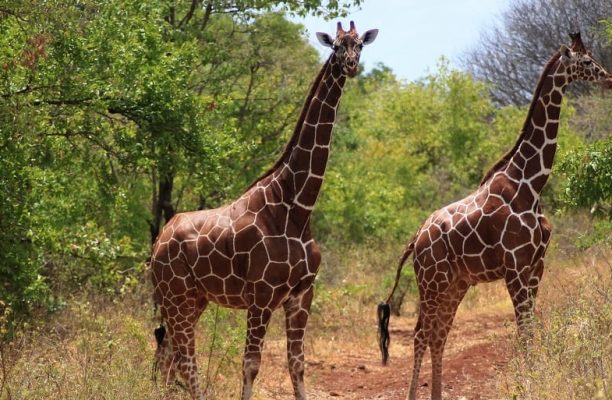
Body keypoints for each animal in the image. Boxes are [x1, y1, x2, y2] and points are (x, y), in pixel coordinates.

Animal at [149, 21, 378, 400]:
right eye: (335, 46)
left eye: (360, 44)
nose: (351, 65)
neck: (298, 208)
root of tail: (157, 242)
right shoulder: (261, 296)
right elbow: (251, 365)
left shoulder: (301, 293)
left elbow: (297, 365)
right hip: (176, 295)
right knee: (184, 360)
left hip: (192, 299)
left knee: (167, 357)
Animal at [378, 32, 608, 400]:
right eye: (586, 61)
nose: (608, 78)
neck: (532, 184)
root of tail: (416, 239)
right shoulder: (514, 268)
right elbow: (523, 329)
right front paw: (529, 382)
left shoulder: (536, 266)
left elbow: (530, 327)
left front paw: (532, 379)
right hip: (431, 282)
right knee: (420, 334)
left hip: (455, 283)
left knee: (438, 334)